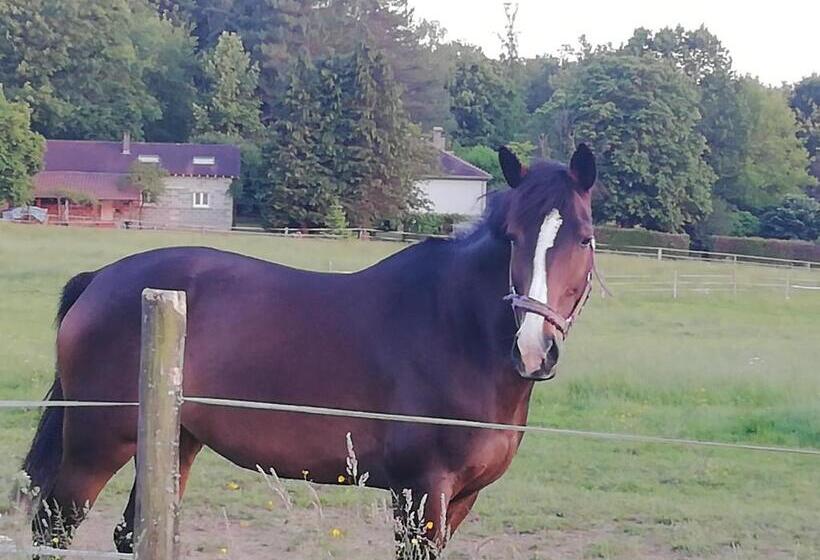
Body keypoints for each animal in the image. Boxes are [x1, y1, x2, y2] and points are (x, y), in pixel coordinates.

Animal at [22, 144, 599, 557]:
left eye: (585, 238)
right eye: (512, 237)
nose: (534, 349)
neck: (458, 334)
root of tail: (99, 280)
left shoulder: (461, 499)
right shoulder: (420, 494)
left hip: (175, 442)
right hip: (96, 444)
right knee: (54, 527)